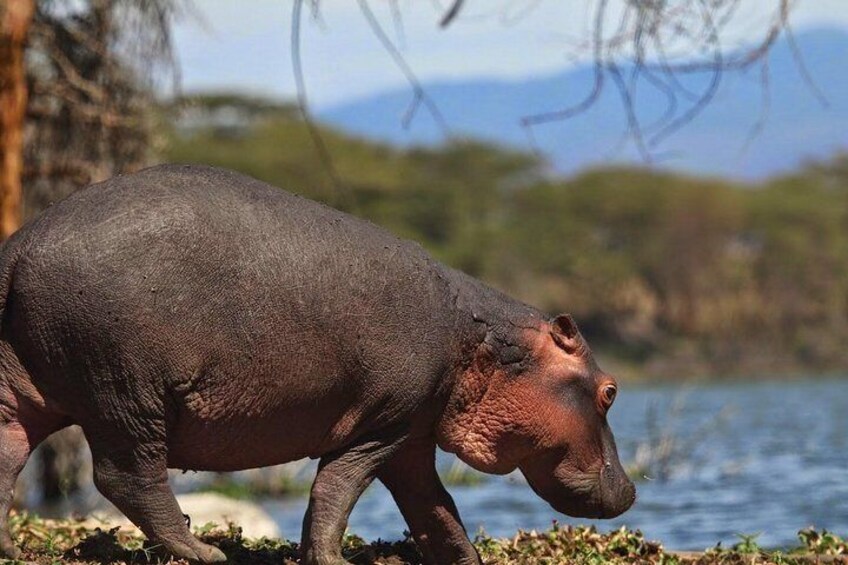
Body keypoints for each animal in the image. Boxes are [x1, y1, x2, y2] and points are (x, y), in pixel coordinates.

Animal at [0, 164, 632, 564]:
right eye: (610, 391)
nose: (629, 491)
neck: (484, 343)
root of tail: (19, 246)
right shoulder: (383, 424)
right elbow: (336, 490)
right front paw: (329, 560)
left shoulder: (413, 434)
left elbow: (435, 510)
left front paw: (467, 560)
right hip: (127, 394)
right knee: (127, 475)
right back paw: (205, 551)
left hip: (26, 394)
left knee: (10, 456)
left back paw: (7, 549)